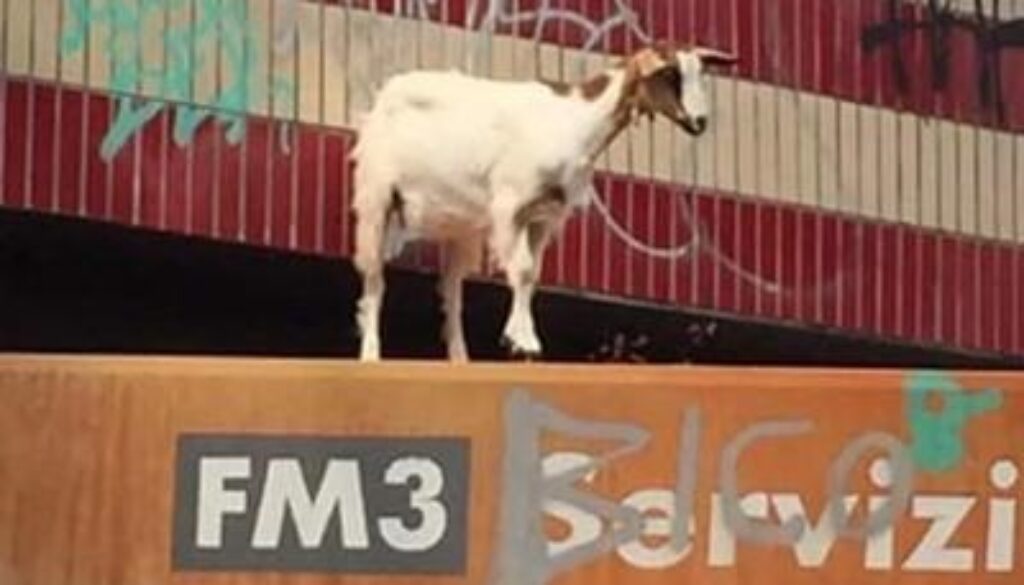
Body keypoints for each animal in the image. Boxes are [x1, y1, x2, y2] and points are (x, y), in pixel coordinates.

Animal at [352, 42, 737, 362]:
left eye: (700, 74)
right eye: (670, 74)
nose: (700, 122)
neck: (577, 122)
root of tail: (385, 94)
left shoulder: (545, 216)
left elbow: (532, 274)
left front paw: (521, 339)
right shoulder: (511, 205)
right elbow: (521, 270)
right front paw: (522, 341)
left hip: (459, 226)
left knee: (451, 290)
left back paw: (460, 359)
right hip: (376, 198)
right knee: (374, 277)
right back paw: (371, 354)